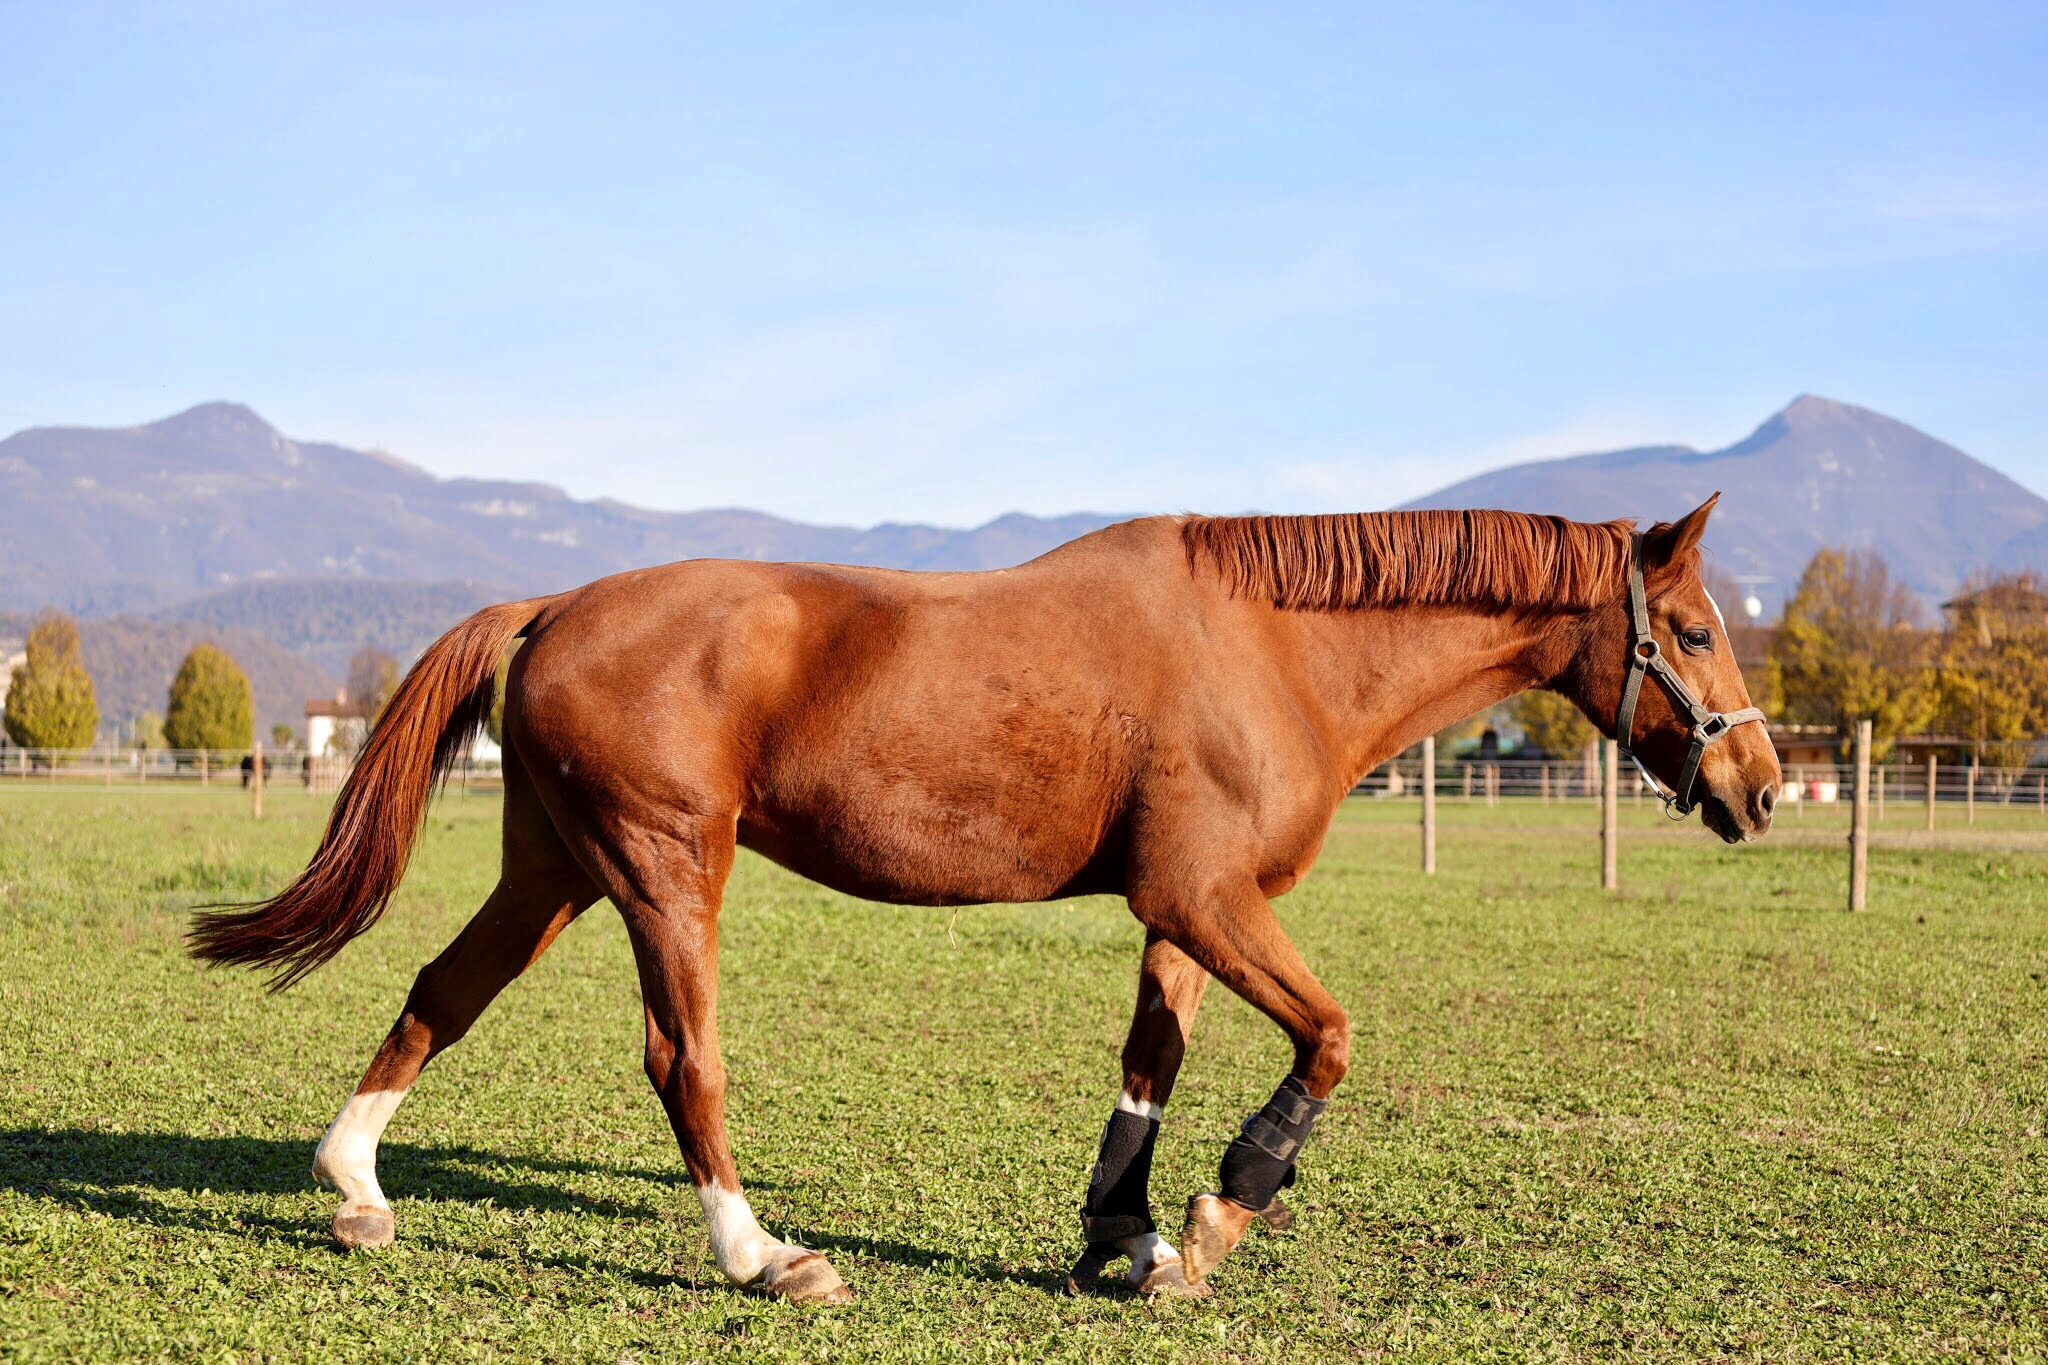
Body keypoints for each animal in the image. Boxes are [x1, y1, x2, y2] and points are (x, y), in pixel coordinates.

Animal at [189, 496, 1780, 1304]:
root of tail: (558, 605)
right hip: (659, 874)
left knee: (442, 993)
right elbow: (1328, 1040)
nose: (1760, 787)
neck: (1268, 645)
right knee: (680, 1059)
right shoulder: (1210, 897)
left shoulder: (1184, 911)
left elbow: (1148, 1067)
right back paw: (760, 1255)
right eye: (1693, 630)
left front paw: (1126, 1233)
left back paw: (354, 1186)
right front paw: (1221, 1212)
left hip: (555, 872)